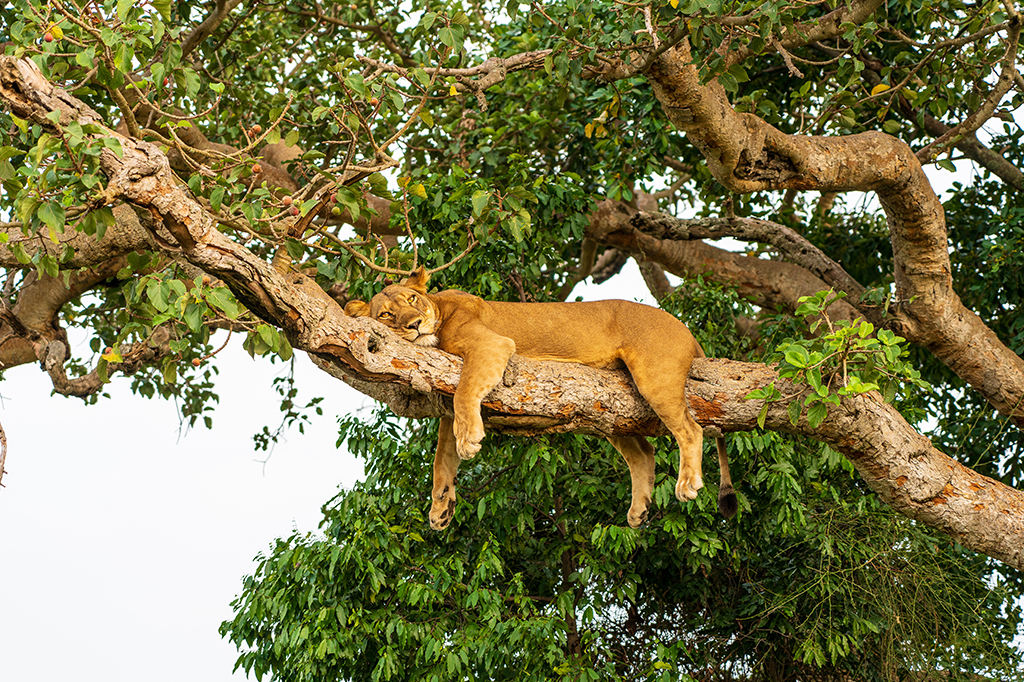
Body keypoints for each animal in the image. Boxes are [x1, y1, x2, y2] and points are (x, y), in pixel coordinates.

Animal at [345, 267, 737, 531]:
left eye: (412, 299)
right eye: (386, 314)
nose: (415, 324)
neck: (439, 308)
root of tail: (685, 328)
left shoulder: (492, 345)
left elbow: (465, 394)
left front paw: (469, 439)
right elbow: (443, 455)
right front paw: (441, 506)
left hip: (655, 379)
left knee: (690, 430)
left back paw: (687, 484)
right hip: (609, 406)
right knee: (643, 452)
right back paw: (638, 509)